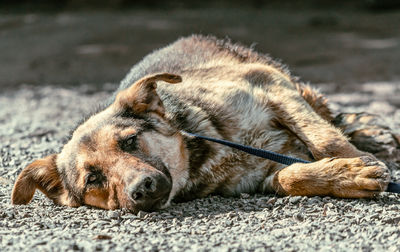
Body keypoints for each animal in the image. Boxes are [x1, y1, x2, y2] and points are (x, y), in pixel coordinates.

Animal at [11, 35, 390, 213]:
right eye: (93, 179)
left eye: (130, 141)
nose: (142, 189)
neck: (206, 150)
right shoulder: (263, 177)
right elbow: (293, 177)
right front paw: (348, 176)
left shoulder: (271, 86)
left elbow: (326, 140)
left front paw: (357, 162)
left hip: (291, 83)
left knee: (330, 117)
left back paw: (370, 135)